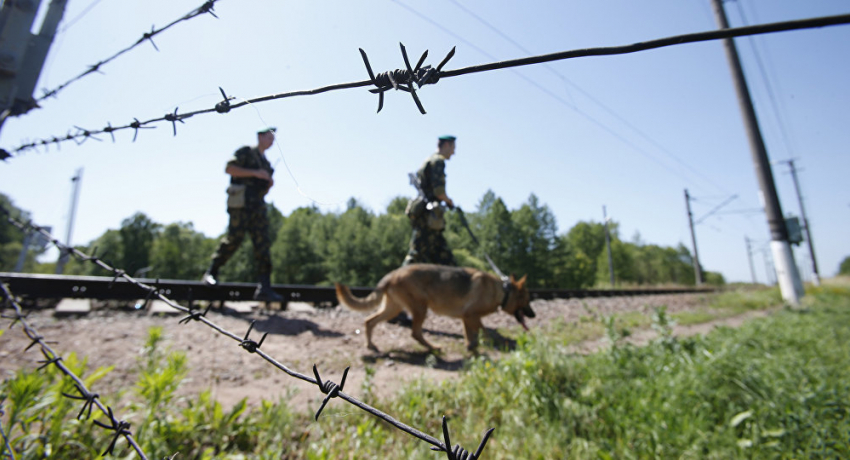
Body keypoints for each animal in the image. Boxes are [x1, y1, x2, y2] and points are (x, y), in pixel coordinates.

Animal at [334, 262, 532, 352]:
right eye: (527, 300)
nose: (534, 315)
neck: (503, 291)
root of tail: (392, 274)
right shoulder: (471, 316)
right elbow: (484, 331)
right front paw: (489, 343)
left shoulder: (467, 318)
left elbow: (473, 334)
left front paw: (472, 346)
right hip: (420, 309)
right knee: (415, 333)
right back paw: (432, 348)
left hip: (392, 309)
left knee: (369, 321)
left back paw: (370, 345)